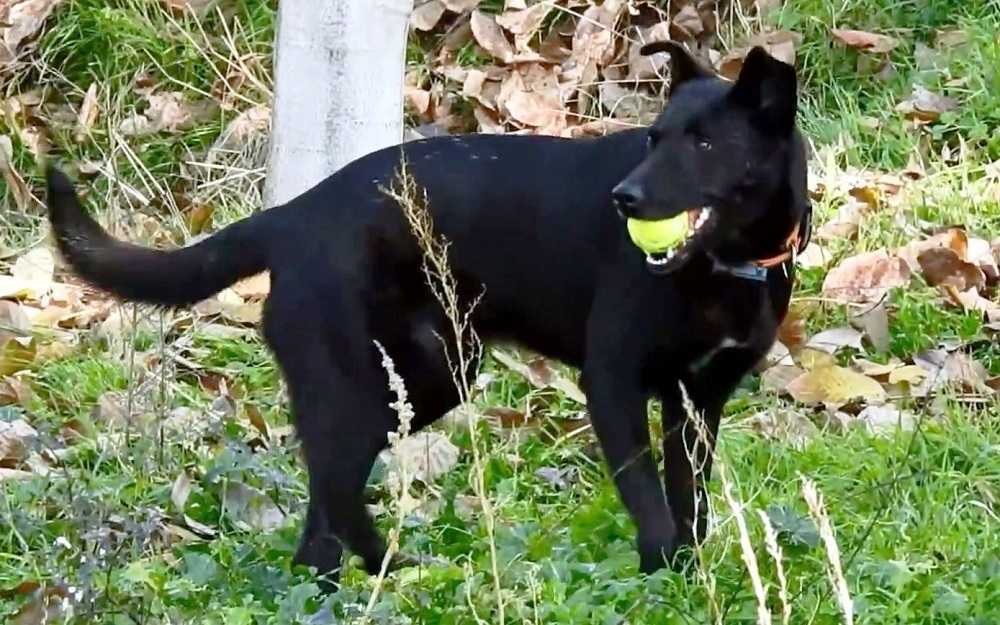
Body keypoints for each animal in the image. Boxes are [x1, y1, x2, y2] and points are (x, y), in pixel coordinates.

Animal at [45, 44, 812, 584]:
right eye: (655, 138)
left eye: (705, 143)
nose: (625, 198)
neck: (730, 262)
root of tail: (291, 216)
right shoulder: (613, 382)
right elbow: (649, 499)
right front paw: (663, 575)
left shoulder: (696, 401)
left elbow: (692, 506)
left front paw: (691, 576)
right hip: (368, 380)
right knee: (334, 486)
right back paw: (383, 561)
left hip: (429, 376)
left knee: (321, 512)